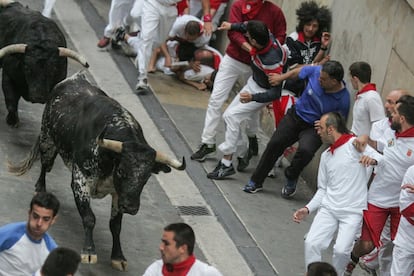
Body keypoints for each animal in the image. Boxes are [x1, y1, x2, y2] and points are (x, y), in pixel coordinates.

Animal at [8, 71, 186, 272]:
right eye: (122, 170)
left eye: (147, 177)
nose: (131, 207)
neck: (109, 157)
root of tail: (74, 78)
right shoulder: (80, 180)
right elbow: (89, 217)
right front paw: (89, 252)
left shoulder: (118, 194)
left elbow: (115, 225)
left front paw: (118, 256)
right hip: (48, 141)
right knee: (45, 165)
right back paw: (40, 188)